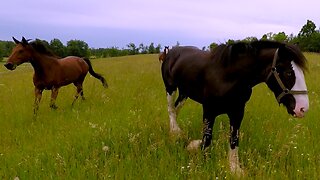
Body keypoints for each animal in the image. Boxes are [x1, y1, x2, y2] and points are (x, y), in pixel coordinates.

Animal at [161, 40, 308, 173]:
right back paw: (174, 133)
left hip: (184, 92)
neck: (227, 76)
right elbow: (207, 139)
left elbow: (234, 139)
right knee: (170, 109)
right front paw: (203, 160)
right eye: (289, 73)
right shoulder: (209, 110)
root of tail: (170, 51)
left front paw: (234, 168)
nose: (303, 109)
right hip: (170, 88)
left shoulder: (237, 111)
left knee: (176, 109)